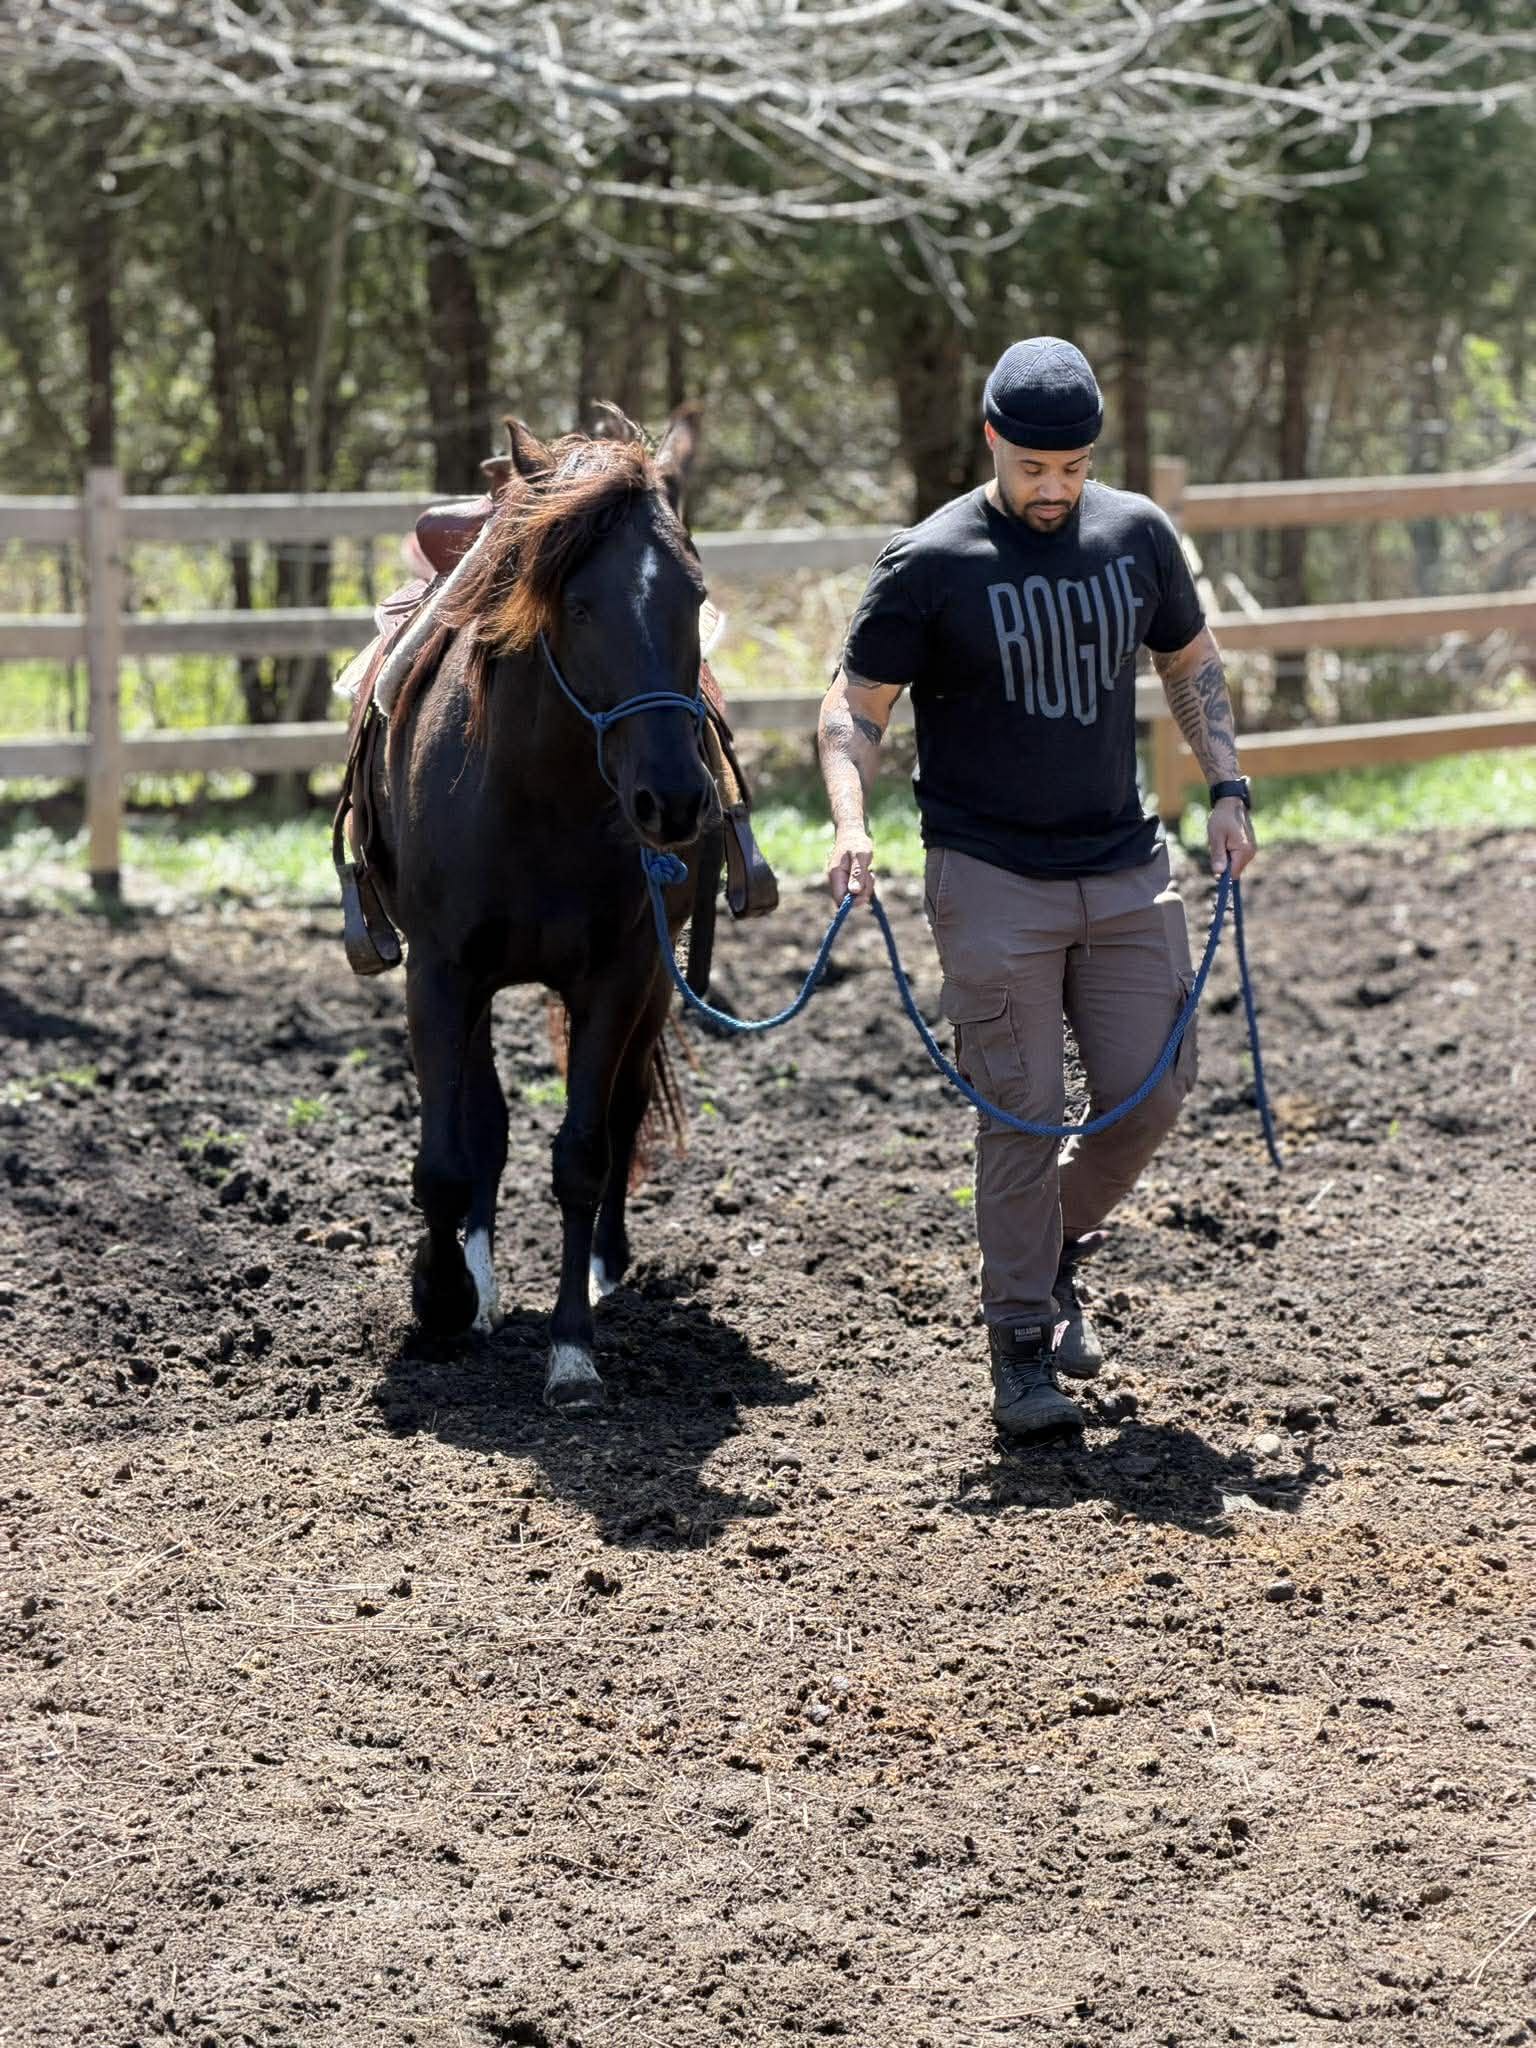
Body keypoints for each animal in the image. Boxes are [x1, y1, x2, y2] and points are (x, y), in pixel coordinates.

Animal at [357, 407, 721, 1412]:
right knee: (481, 1123)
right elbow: (448, 1158)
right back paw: (477, 1287)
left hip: (650, 989)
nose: (675, 801)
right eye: (581, 604)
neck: (538, 793)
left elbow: (584, 1154)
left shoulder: (620, 977)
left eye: (694, 596)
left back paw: (604, 1267)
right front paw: (443, 1300)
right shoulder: (443, 974)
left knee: (625, 1111)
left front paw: (571, 1348)